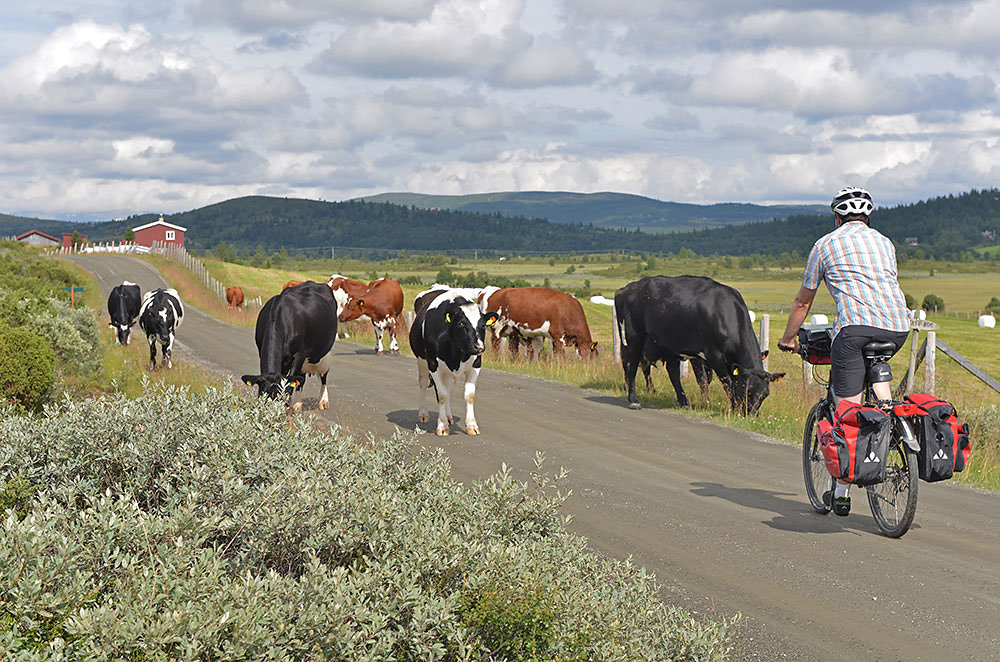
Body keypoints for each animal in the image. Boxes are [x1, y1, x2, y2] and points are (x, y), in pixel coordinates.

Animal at [242, 282, 340, 416]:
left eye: (280, 398)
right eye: (263, 396)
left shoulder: (299, 354)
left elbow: (291, 383)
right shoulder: (261, 349)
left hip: (324, 351)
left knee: (323, 374)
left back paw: (322, 401)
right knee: (302, 378)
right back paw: (298, 404)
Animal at [408, 290, 498, 436]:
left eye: (483, 325)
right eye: (461, 323)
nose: (479, 347)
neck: (457, 353)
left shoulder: (476, 365)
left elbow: (469, 396)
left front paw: (472, 426)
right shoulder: (433, 365)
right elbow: (442, 395)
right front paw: (442, 426)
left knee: (447, 387)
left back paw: (449, 417)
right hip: (421, 360)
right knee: (423, 383)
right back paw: (423, 414)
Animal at [612, 276, 784, 416]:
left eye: (765, 394)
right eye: (747, 390)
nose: (750, 414)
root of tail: (626, 288)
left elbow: (706, 380)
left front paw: (707, 403)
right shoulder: (713, 356)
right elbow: (725, 382)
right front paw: (732, 408)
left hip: (668, 344)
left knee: (672, 373)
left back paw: (683, 402)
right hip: (632, 337)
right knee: (631, 365)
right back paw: (633, 399)